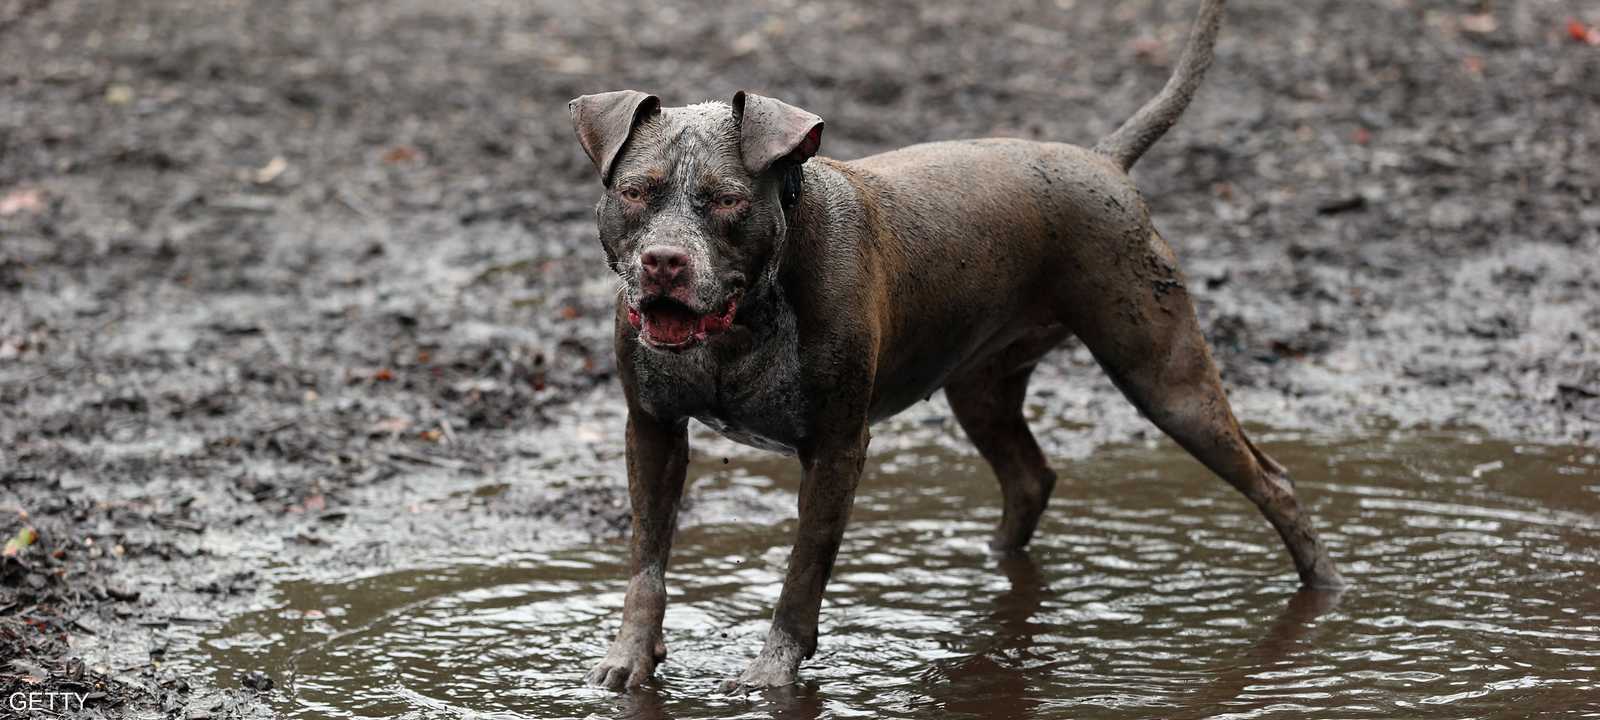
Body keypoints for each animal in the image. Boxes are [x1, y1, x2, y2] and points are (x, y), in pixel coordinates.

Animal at [569, 0, 1344, 691]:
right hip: (981, 386)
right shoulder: (653, 429)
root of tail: (1105, 162)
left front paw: (771, 677)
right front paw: (629, 660)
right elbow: (646, 559)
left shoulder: (836, 448)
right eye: (635, 192)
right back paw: (992, 562)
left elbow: (801, 574)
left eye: (728, 199)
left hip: (1165, 376)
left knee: (1272, 481)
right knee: (1031, 477)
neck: (737, 327)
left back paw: (1327, 591)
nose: (664, 262)